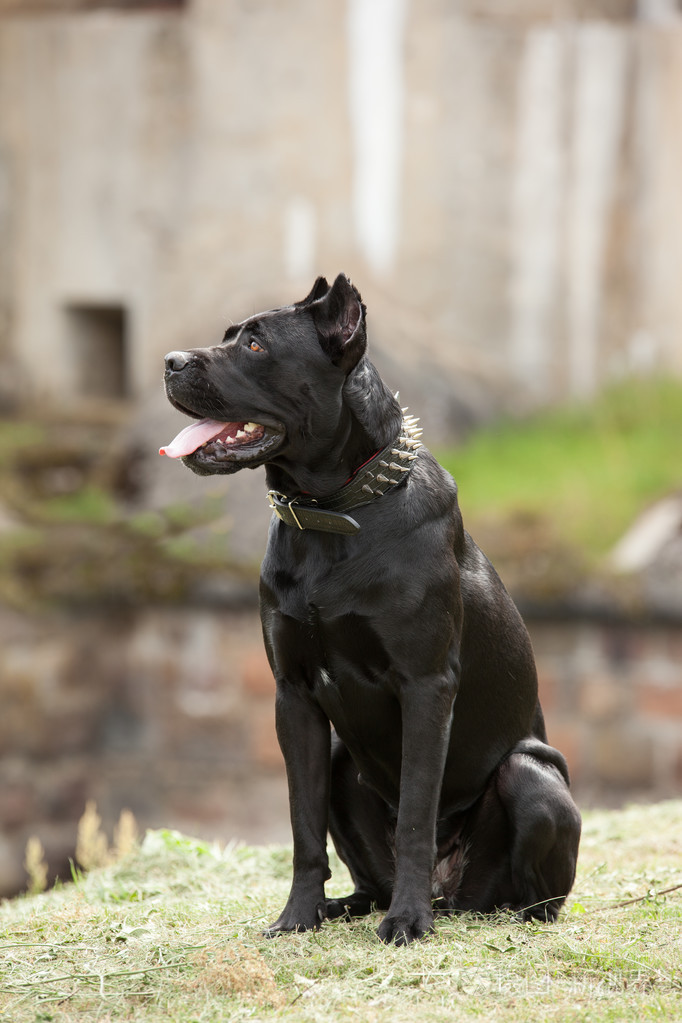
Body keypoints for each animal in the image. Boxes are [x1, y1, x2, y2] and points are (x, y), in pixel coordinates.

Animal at [161, 270, 580, 941]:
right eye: (228, 334)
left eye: (254, 344)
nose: (170, 362)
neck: (330, 515)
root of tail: (451, 893)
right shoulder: (294, 694)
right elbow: (302, 826)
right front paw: (296, 917)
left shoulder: (425, 685)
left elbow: (414, 814)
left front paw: (406, 924)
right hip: (340, 757)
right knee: (362, 879)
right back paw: (343, 908)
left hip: (531, 777)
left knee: (531, 894)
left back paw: (465, 910)